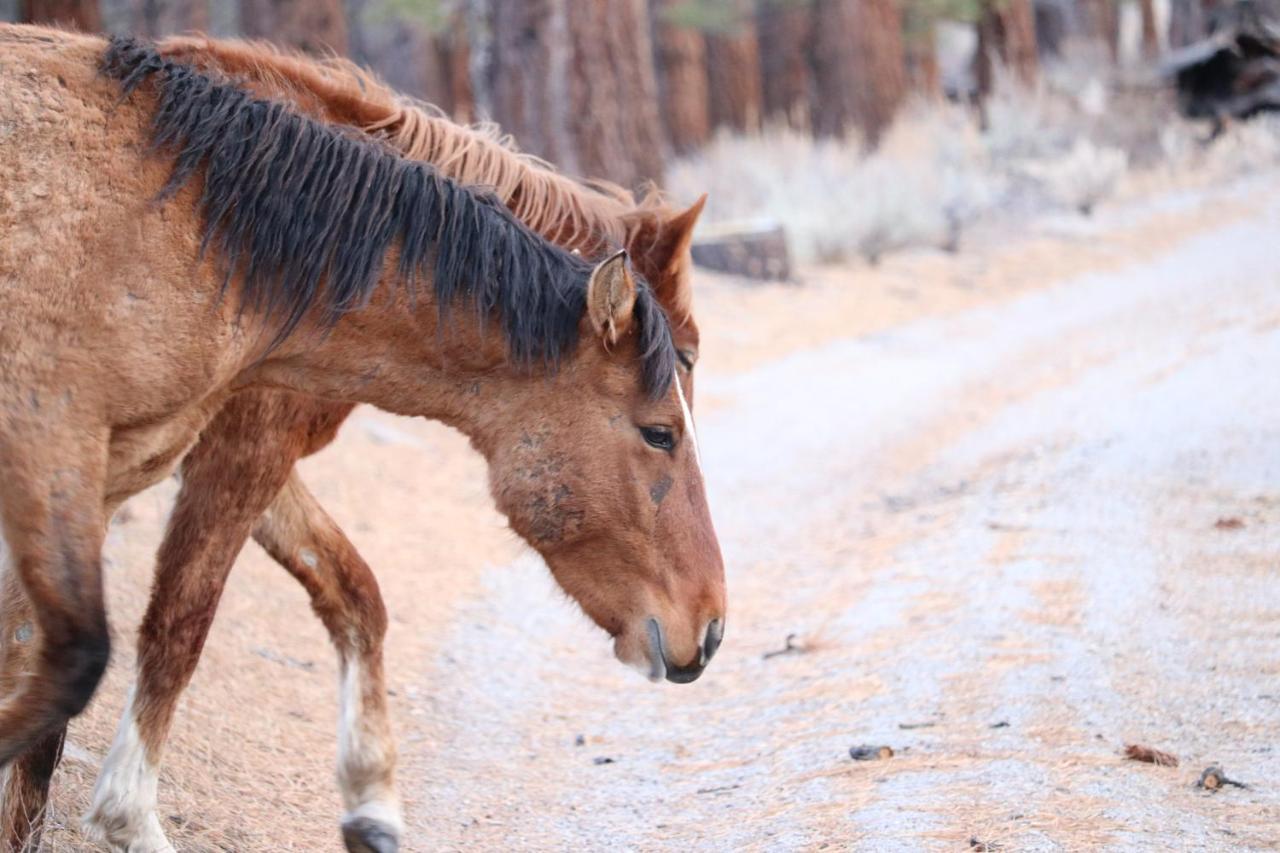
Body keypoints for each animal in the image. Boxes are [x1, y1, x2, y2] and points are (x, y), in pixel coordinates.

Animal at [0, 26, 727, 850]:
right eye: (662, 428)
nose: (709, 631)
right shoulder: (237, 449)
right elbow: (177, 622)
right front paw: (124, 813)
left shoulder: (219, 455)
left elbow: (354, 593)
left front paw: (371, 801)